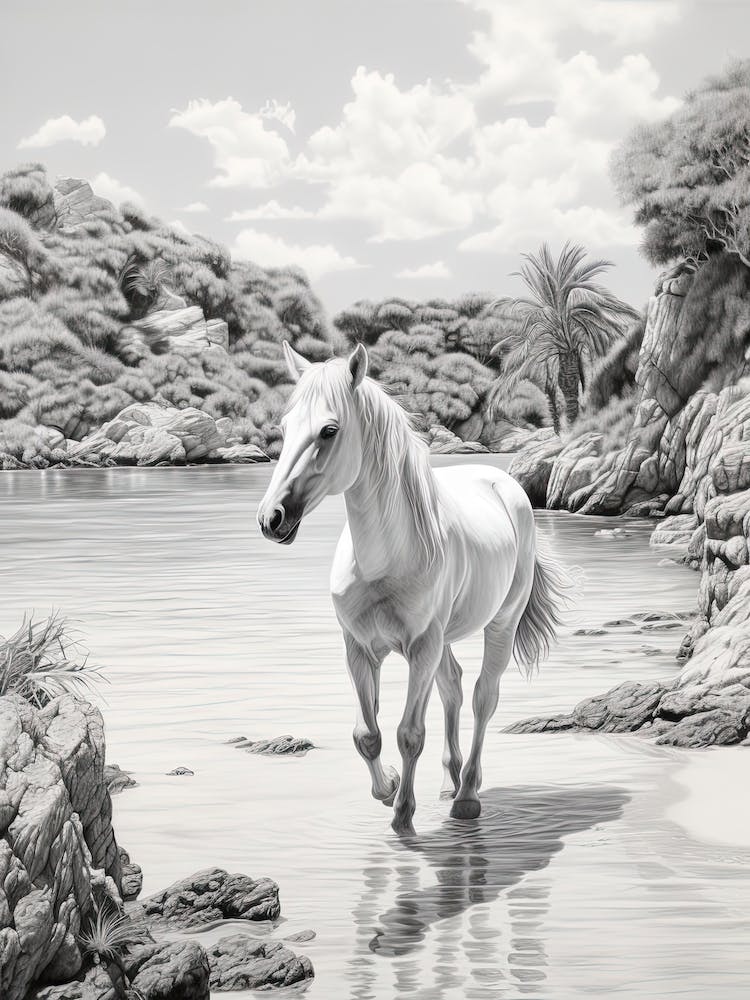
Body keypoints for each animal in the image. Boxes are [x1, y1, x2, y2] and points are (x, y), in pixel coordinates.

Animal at [258, 342, 570, 835]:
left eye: (329, 430)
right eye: (285, 428)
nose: (272, 519)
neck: (383, 560)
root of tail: (503, 482)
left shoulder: (421, 648)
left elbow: (409, 734)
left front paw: (403, 815)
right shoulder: (358, 648)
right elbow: (367, 734)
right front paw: (386, 789)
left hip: (498, 624)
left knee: (483, 698)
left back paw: (467, 796)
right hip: (444, 640)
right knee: (454, 688)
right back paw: (450, 782)